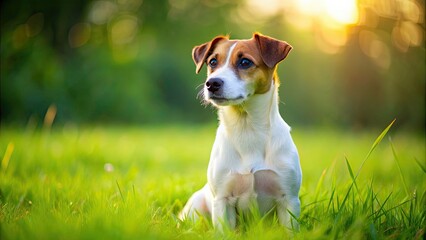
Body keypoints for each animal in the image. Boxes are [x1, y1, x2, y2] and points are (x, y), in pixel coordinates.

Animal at [178, 32, 302, 231]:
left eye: (245, 62)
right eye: (213, 62)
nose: (212, 83)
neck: (246, 128)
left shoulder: (288, 199)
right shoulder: (222, 200)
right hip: (196, 207)